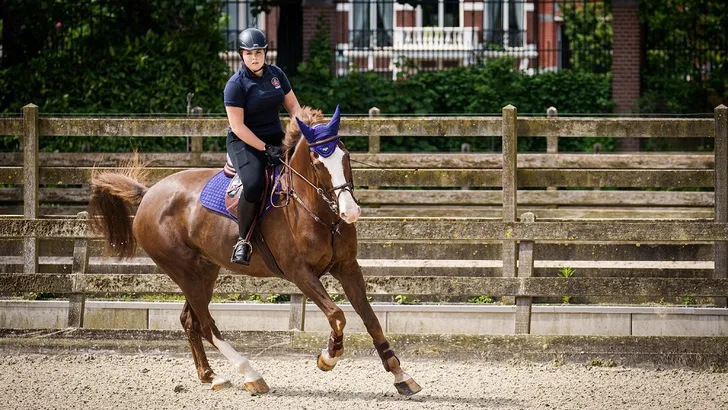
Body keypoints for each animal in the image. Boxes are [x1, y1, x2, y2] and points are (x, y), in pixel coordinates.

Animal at [88, 106, 424, 398]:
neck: (317, 212)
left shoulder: (347, 267)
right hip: (183, 270)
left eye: (346, 156)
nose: (350, 211)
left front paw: (401, 376)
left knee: (190, 320)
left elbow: (370, 319)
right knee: (207, 324)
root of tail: (148, 195)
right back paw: (250, 374)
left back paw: (211, 376)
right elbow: (338, 316)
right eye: (317, 162)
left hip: (203, 270)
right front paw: (328, 356)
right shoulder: (300, 273)